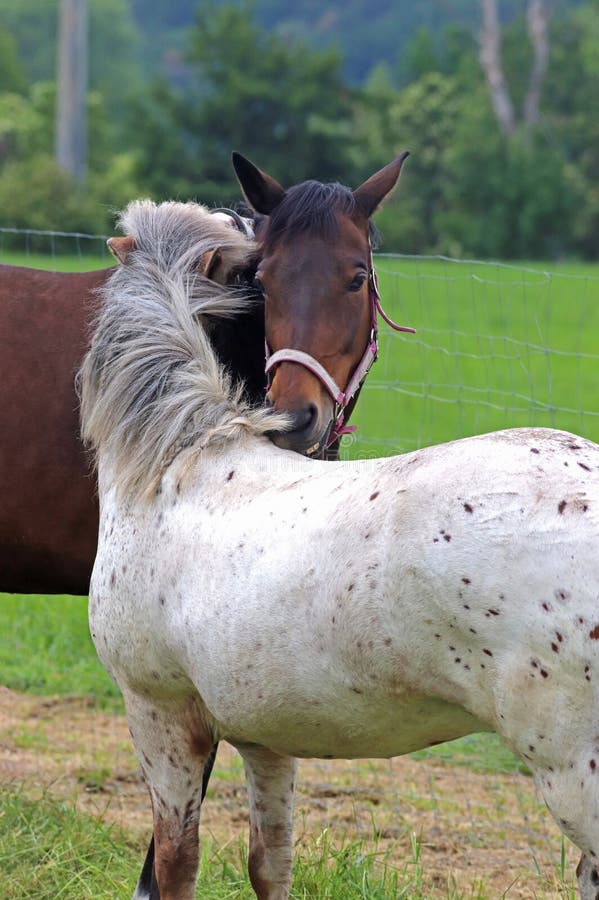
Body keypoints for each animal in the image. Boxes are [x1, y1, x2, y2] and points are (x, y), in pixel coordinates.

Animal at [80, 198, 599, 900]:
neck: (177, 460)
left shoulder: (159, 714)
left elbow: (175, 864)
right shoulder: (265, 736)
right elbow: (269, 863)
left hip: (572, 771)